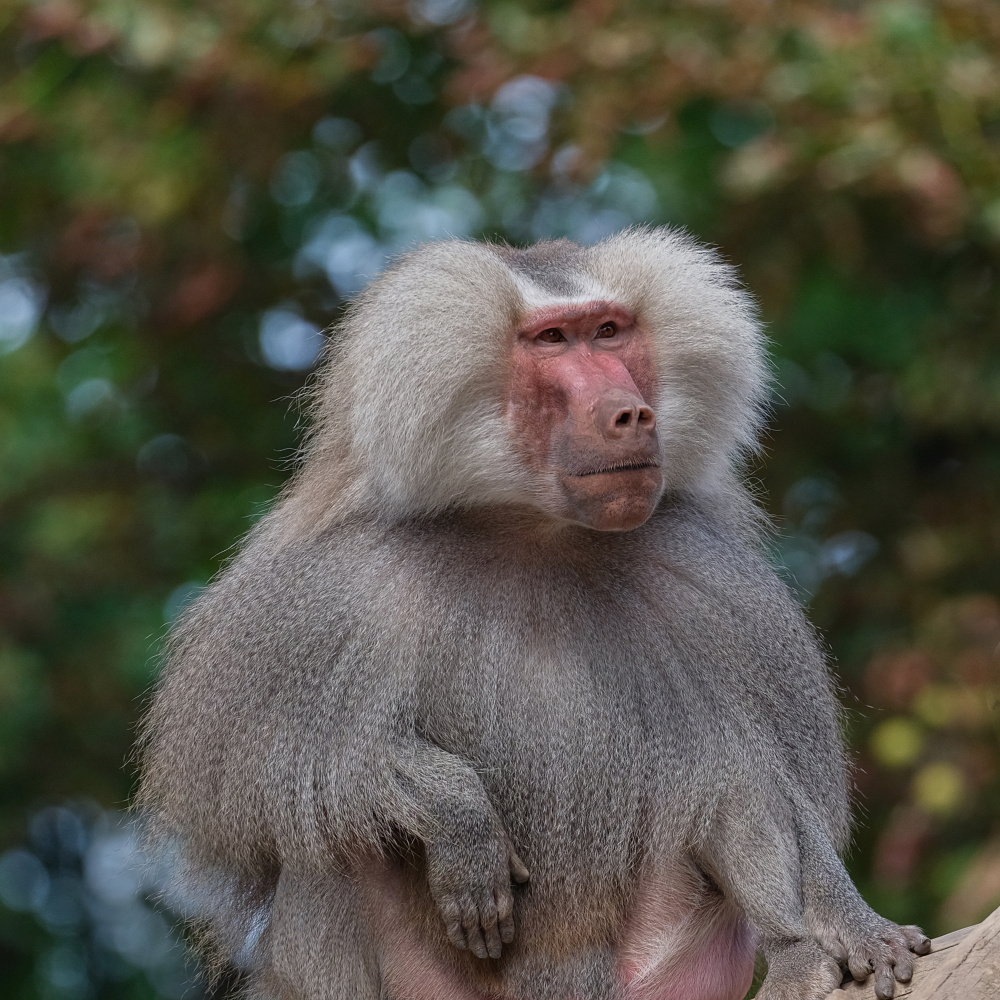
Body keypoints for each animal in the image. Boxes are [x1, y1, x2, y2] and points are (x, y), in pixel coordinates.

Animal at [138, 227, 931, 1000]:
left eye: (609, 331)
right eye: (552, 340)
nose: (631, 413)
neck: (538, 531)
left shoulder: (712, 589)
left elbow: (770, 782)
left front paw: (856, 929)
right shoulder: (324, 594)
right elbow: (252, 785)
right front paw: (460, 821)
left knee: (730, 769)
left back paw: (798, 959)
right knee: (329, 849)